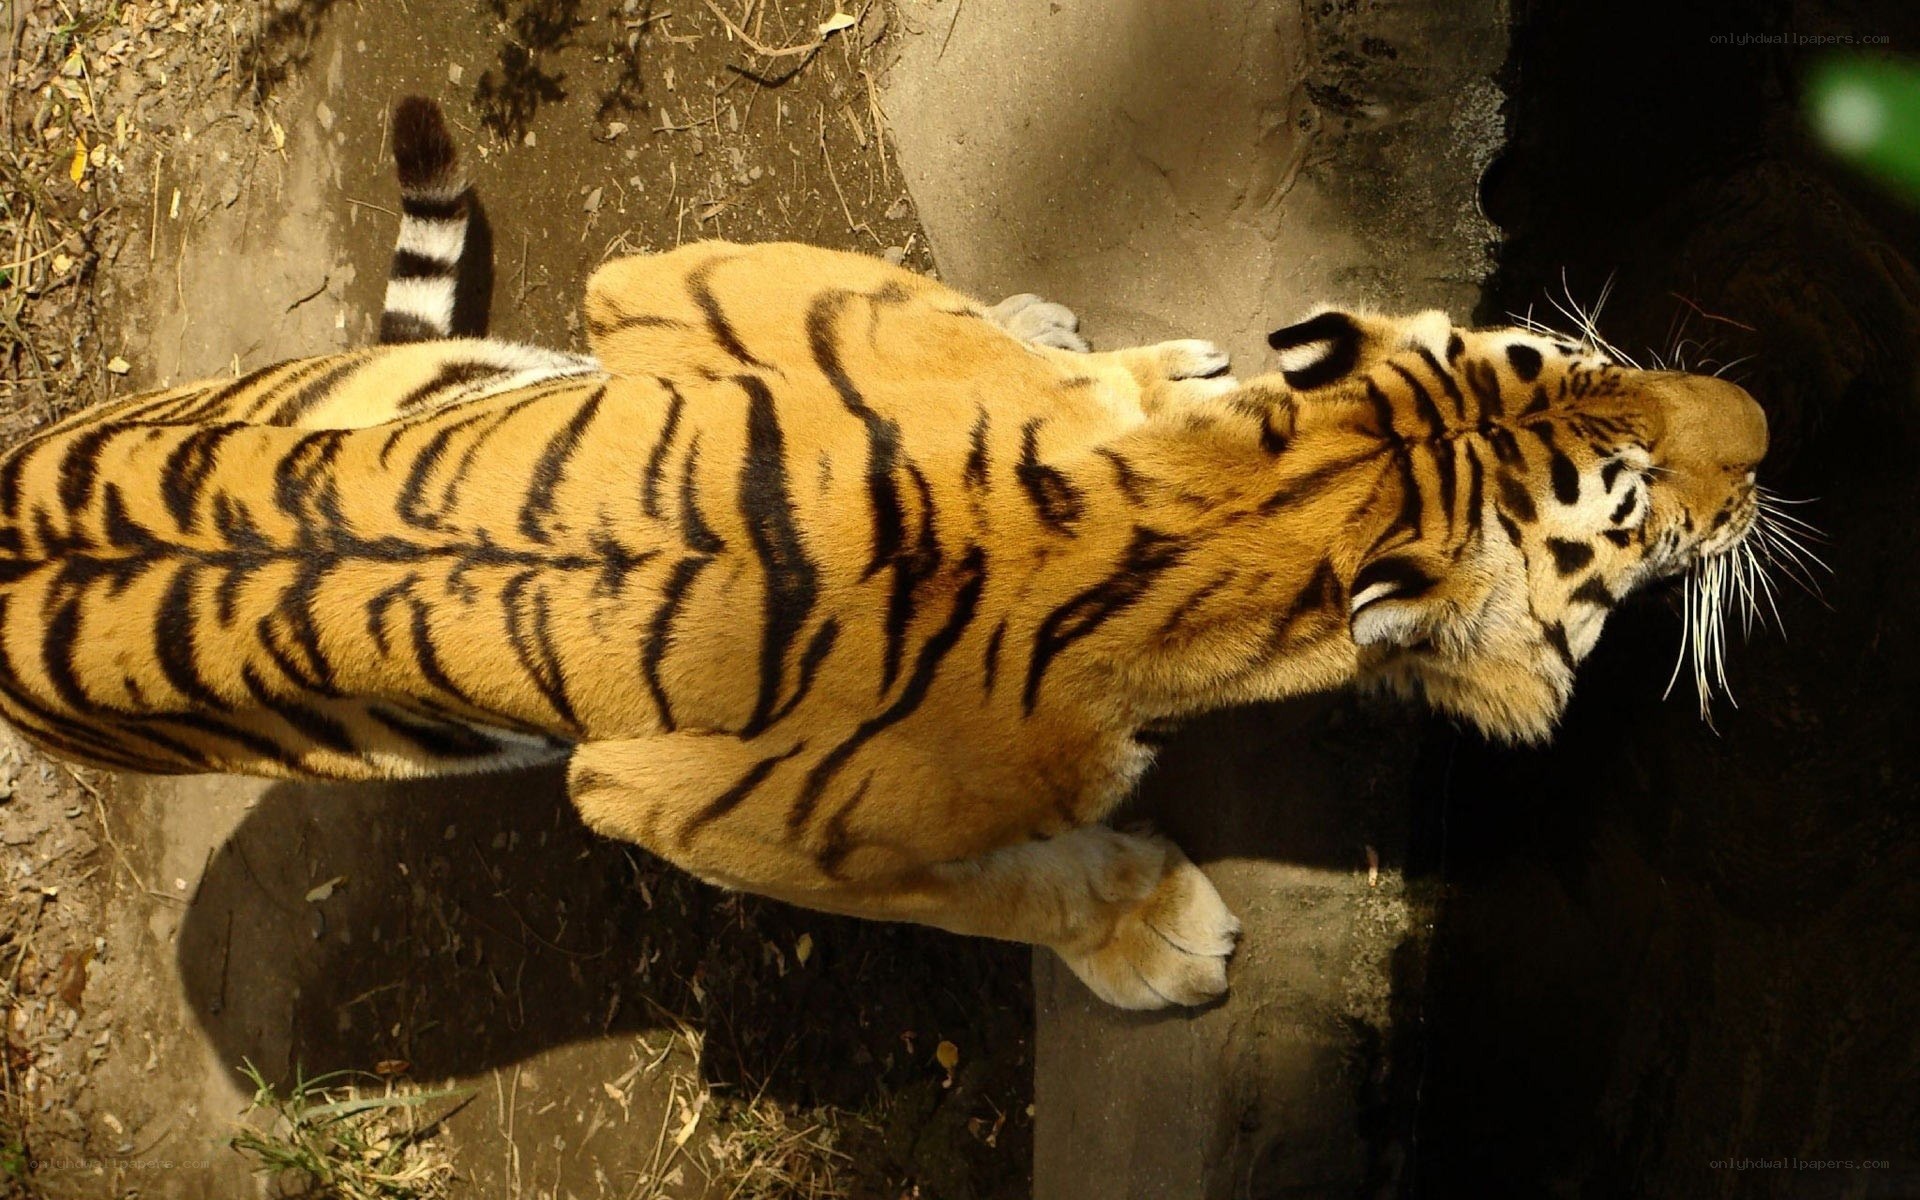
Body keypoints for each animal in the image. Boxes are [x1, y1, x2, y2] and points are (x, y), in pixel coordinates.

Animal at [0, 101, 1769, 1010]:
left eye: (1572, 350)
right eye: (1631, 499)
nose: (1761, 422)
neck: (1230, 500)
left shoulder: (678, 283)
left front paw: (1097, 352)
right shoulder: (692, 809)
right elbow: (983, 897)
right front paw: (1152, 934)